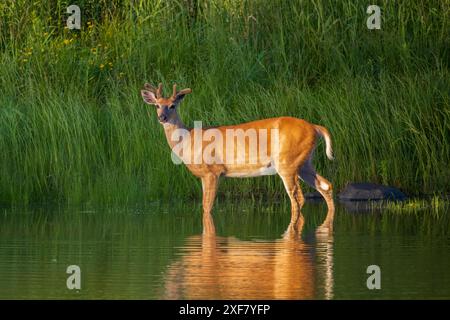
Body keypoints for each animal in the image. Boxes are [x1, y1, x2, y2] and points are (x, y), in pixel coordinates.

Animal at [141, 82, 334, 231]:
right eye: (157, 105)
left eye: (173, 105)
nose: (162, 117)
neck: (189, 139)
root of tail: (315, 127)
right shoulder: (204, 175)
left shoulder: (213, 171)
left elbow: (206, 207)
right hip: (304, 162)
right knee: (326, 185)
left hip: (287, 162)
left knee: (298, 197)